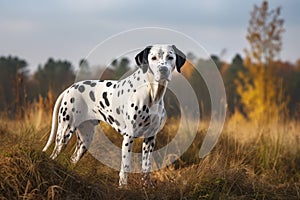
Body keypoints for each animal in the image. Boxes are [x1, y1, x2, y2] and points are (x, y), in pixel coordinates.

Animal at [42, 44, 185, 187]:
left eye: (170, 57)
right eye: (153, 58)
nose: (163, 69)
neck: (152, 93)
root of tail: (69, 89)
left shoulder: (150, 138)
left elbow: (146, 166)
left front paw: (146, 186)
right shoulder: (128, 137)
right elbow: (125, 167)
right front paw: (123, 187)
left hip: (85, 139)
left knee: (73, 159)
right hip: (65, 132)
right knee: (54, 155)